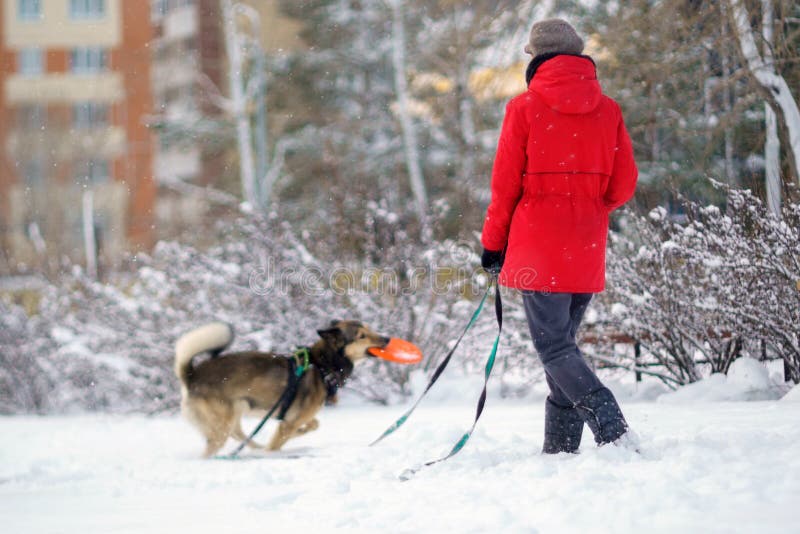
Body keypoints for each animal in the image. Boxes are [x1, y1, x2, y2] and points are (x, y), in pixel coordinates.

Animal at [175, 320, 390, 458]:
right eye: (362, 336)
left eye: (369, 329)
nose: (387, 338)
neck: (322, 366)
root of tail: (192, 375)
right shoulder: (290, 422)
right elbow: (282, 439)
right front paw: (279, 447)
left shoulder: (294, 417)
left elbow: (313, 424)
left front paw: (300, 433)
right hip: (222, 425)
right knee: (213, 448)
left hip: (234, 414)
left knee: (238, 434)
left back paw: (256, 448)